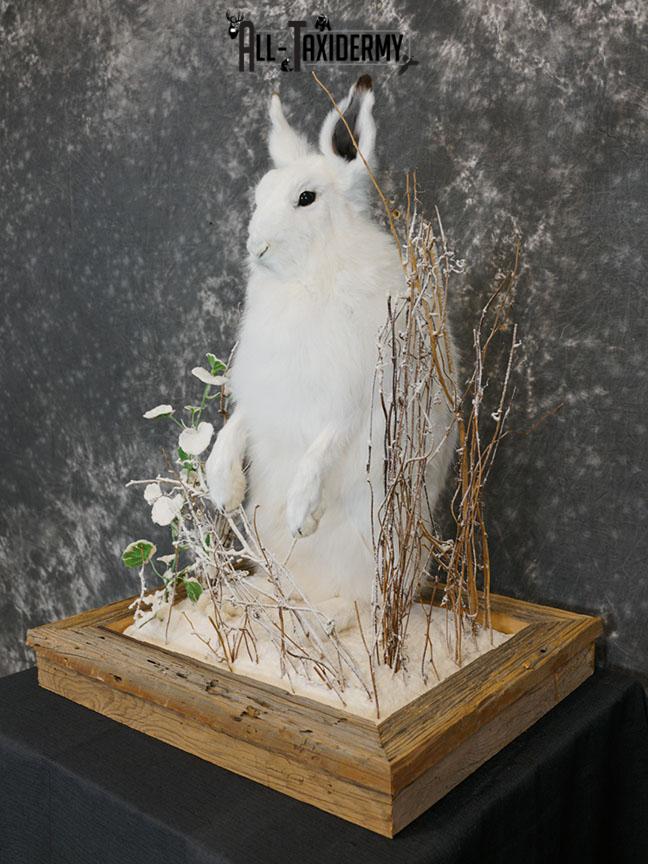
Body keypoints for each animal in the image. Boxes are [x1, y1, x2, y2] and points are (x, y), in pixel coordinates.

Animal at [206, 75, 457, 629]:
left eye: (306, 198)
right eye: (259, 196)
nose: (256, 247)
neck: (308, 276)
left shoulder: (356, 395)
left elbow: (324, 445)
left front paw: (302, 512)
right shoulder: (260, 391)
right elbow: (236, 426)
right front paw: (222, 487)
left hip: (379, 553)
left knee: (365, 604)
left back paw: (326, 618)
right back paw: (250, 600)